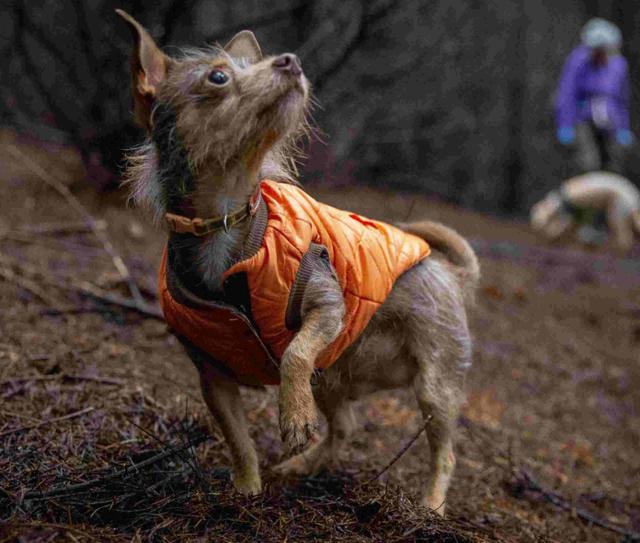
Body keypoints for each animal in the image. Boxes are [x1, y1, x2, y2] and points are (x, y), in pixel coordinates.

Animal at [117, 10, 478, 516]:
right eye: (218, 77)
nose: (290, 60)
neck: (226, 222)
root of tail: (452, 274)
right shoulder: (213, 377)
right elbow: (239, 442)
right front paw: (246, 495)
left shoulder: (326, 307)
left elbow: (294, 354)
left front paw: (293, 419)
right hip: (334, 376)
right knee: (344, 426)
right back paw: (304, 465)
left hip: (434, 385)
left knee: (444, 453)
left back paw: (430, 506)